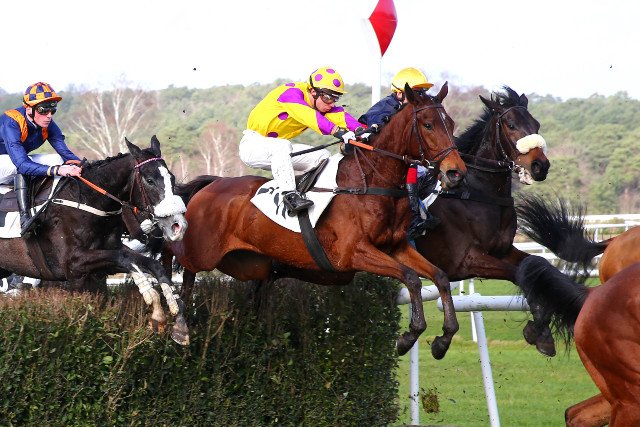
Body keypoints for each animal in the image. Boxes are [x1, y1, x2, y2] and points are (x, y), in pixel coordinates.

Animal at [0, 136, 190, 344]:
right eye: (149, 180)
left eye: (172, 178)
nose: (177, 225)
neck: (87, 201)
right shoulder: (73, 265)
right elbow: (125, 260)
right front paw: (152, 298)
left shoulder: (106, 258)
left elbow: (148, 264)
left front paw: (178, 321)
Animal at [168, 83, 467, 359]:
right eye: (428, 125)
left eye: (451, 123)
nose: (456, 173)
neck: (370, 184)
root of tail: (212, 183)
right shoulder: (353, 253)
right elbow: (411, 278)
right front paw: (408, 336)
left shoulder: (396, 247)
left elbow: (439, 276)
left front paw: (443, 339)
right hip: (202, 252)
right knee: (179, 265)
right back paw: (178, 324)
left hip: (248, 265)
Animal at [412, 85, 553, 355]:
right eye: (511, 125)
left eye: (537, 124)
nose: (540, 165)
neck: (479, 193)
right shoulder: (465, 260)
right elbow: (517, 274)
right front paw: (537, 329)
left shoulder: (502, 250)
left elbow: (538, 267)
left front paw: (542, 333)